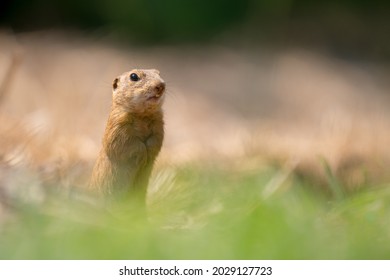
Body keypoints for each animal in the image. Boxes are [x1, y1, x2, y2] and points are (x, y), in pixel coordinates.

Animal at [89, 69, 165, 202]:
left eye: (159, 73)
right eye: (133, 76)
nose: (161, 85)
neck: (142, 115)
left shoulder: (158, 124)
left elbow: (156, 140)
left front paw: (149, 153)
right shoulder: (118, 125)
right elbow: (126, 144)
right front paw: (143, 156)